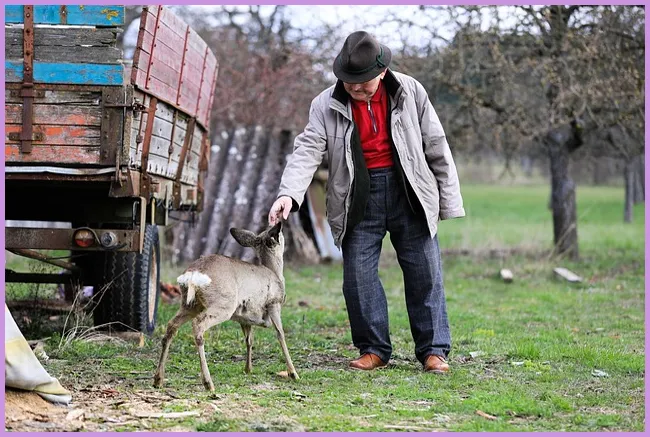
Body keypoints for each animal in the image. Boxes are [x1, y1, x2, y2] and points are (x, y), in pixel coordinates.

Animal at [153, 222, 298, 391]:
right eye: (279, 234)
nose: (278, 224)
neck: (275, 274)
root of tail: (194, 274)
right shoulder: (274, 303)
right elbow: (280, 334)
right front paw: (293, 373)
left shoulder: (245, 317)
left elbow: (249, 339)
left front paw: (248, 369)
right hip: (223, 304)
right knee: (198, 325)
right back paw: (208, 383)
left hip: (189, 304)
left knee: (171, 326)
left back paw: (158, 379)